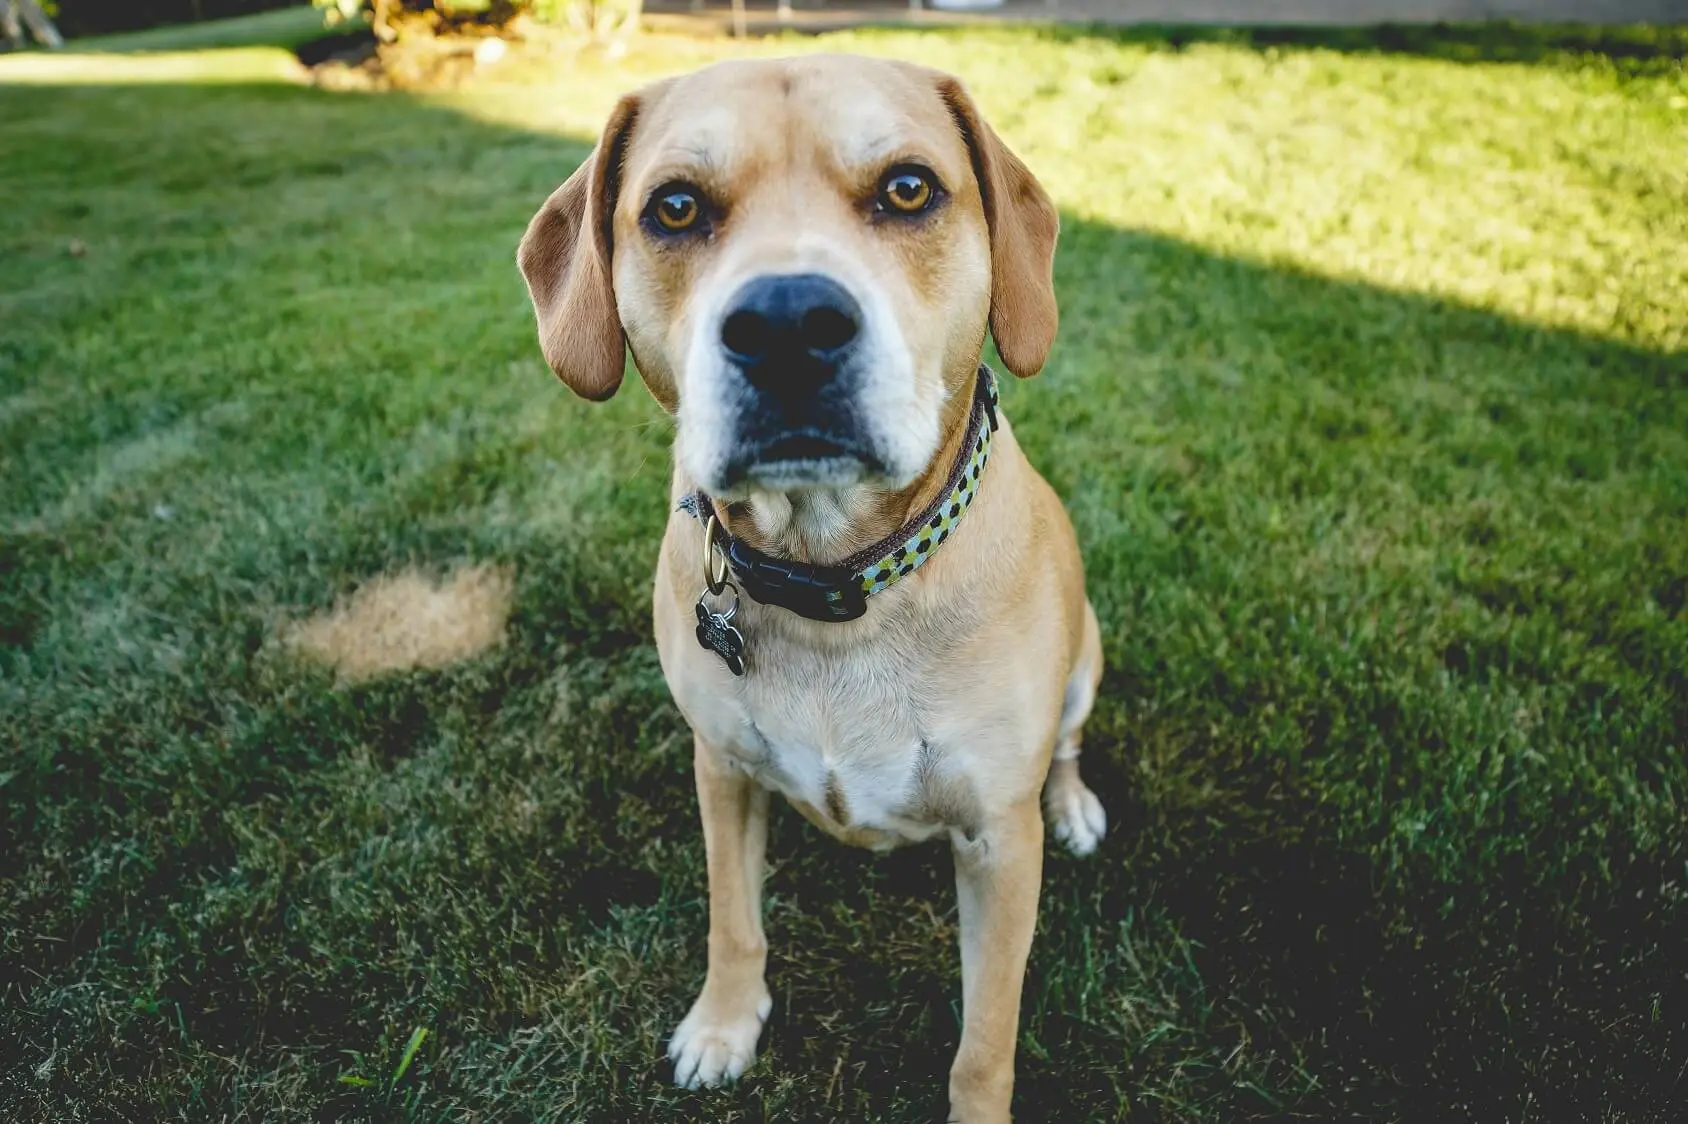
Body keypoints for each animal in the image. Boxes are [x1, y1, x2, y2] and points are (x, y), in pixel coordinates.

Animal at [519, 54, 1114, 1120]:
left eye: (909, 188)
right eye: (675, 206)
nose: (787, 323)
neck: (836, 578)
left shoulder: (998, 844)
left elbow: (985, 1035)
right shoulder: (720, 769)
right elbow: (733, 918)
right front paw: (724, 1024)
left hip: (1087, 656)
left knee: (1070, 743)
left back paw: (1077, 802)